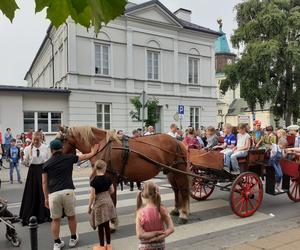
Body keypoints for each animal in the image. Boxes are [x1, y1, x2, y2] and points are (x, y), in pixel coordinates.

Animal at [56, 125, 190, 225]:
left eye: (61, 140)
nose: (54, 155)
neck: (102, 146)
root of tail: (177, 141)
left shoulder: (111, 179)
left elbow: (113, 200)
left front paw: (113, 224)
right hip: (171, 172)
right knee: (176, 189)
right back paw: (177, 210)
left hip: (179, 171)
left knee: (183, 189)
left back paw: (183, 214)